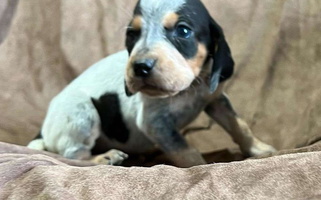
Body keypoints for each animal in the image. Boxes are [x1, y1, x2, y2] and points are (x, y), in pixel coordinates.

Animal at [26, 0, 276, 168]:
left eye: (183, 30)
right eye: (132, 34)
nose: (140, 67)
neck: (188, 89)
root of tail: (43, 129)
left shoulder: (215, 99)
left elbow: (239, 125)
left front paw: (260, 149)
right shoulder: (155, 123)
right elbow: (187, 151)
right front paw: (202, 167)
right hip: (83, 113)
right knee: (73, 154)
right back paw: (104, 156)